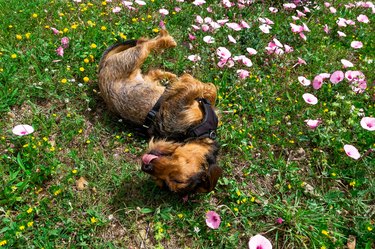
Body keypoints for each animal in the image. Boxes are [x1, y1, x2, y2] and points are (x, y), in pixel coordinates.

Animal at [97, 31, 223, 194]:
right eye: (177, 179)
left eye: (172, 181)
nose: (145, 166)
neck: (199, 131)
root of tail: (102, 69)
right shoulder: (180, 102)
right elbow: (203, 88)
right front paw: (194, 84)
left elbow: (202, 90)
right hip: (133, 59)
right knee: (144, 44)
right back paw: (167, 41)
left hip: (134, 67)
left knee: (150, 65)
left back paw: (167, 74)